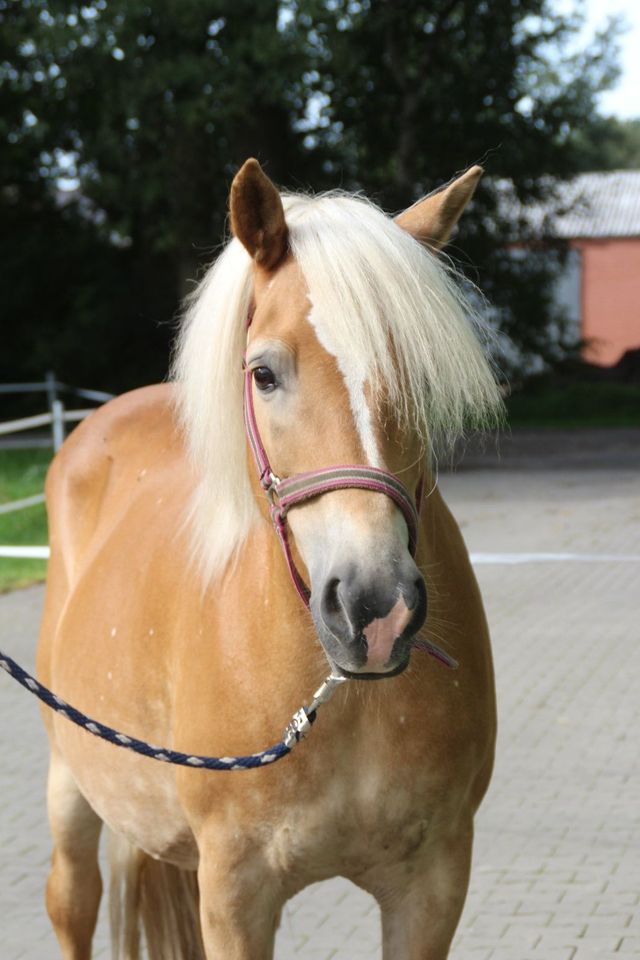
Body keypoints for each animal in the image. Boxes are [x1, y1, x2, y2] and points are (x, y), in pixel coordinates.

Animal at [36, 161, 504, 956]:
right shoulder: (234, 895)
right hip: (71, 787)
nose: (374, 607)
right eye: (263, 373)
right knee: (73, 904)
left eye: (419, 376)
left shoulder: (434, 885)